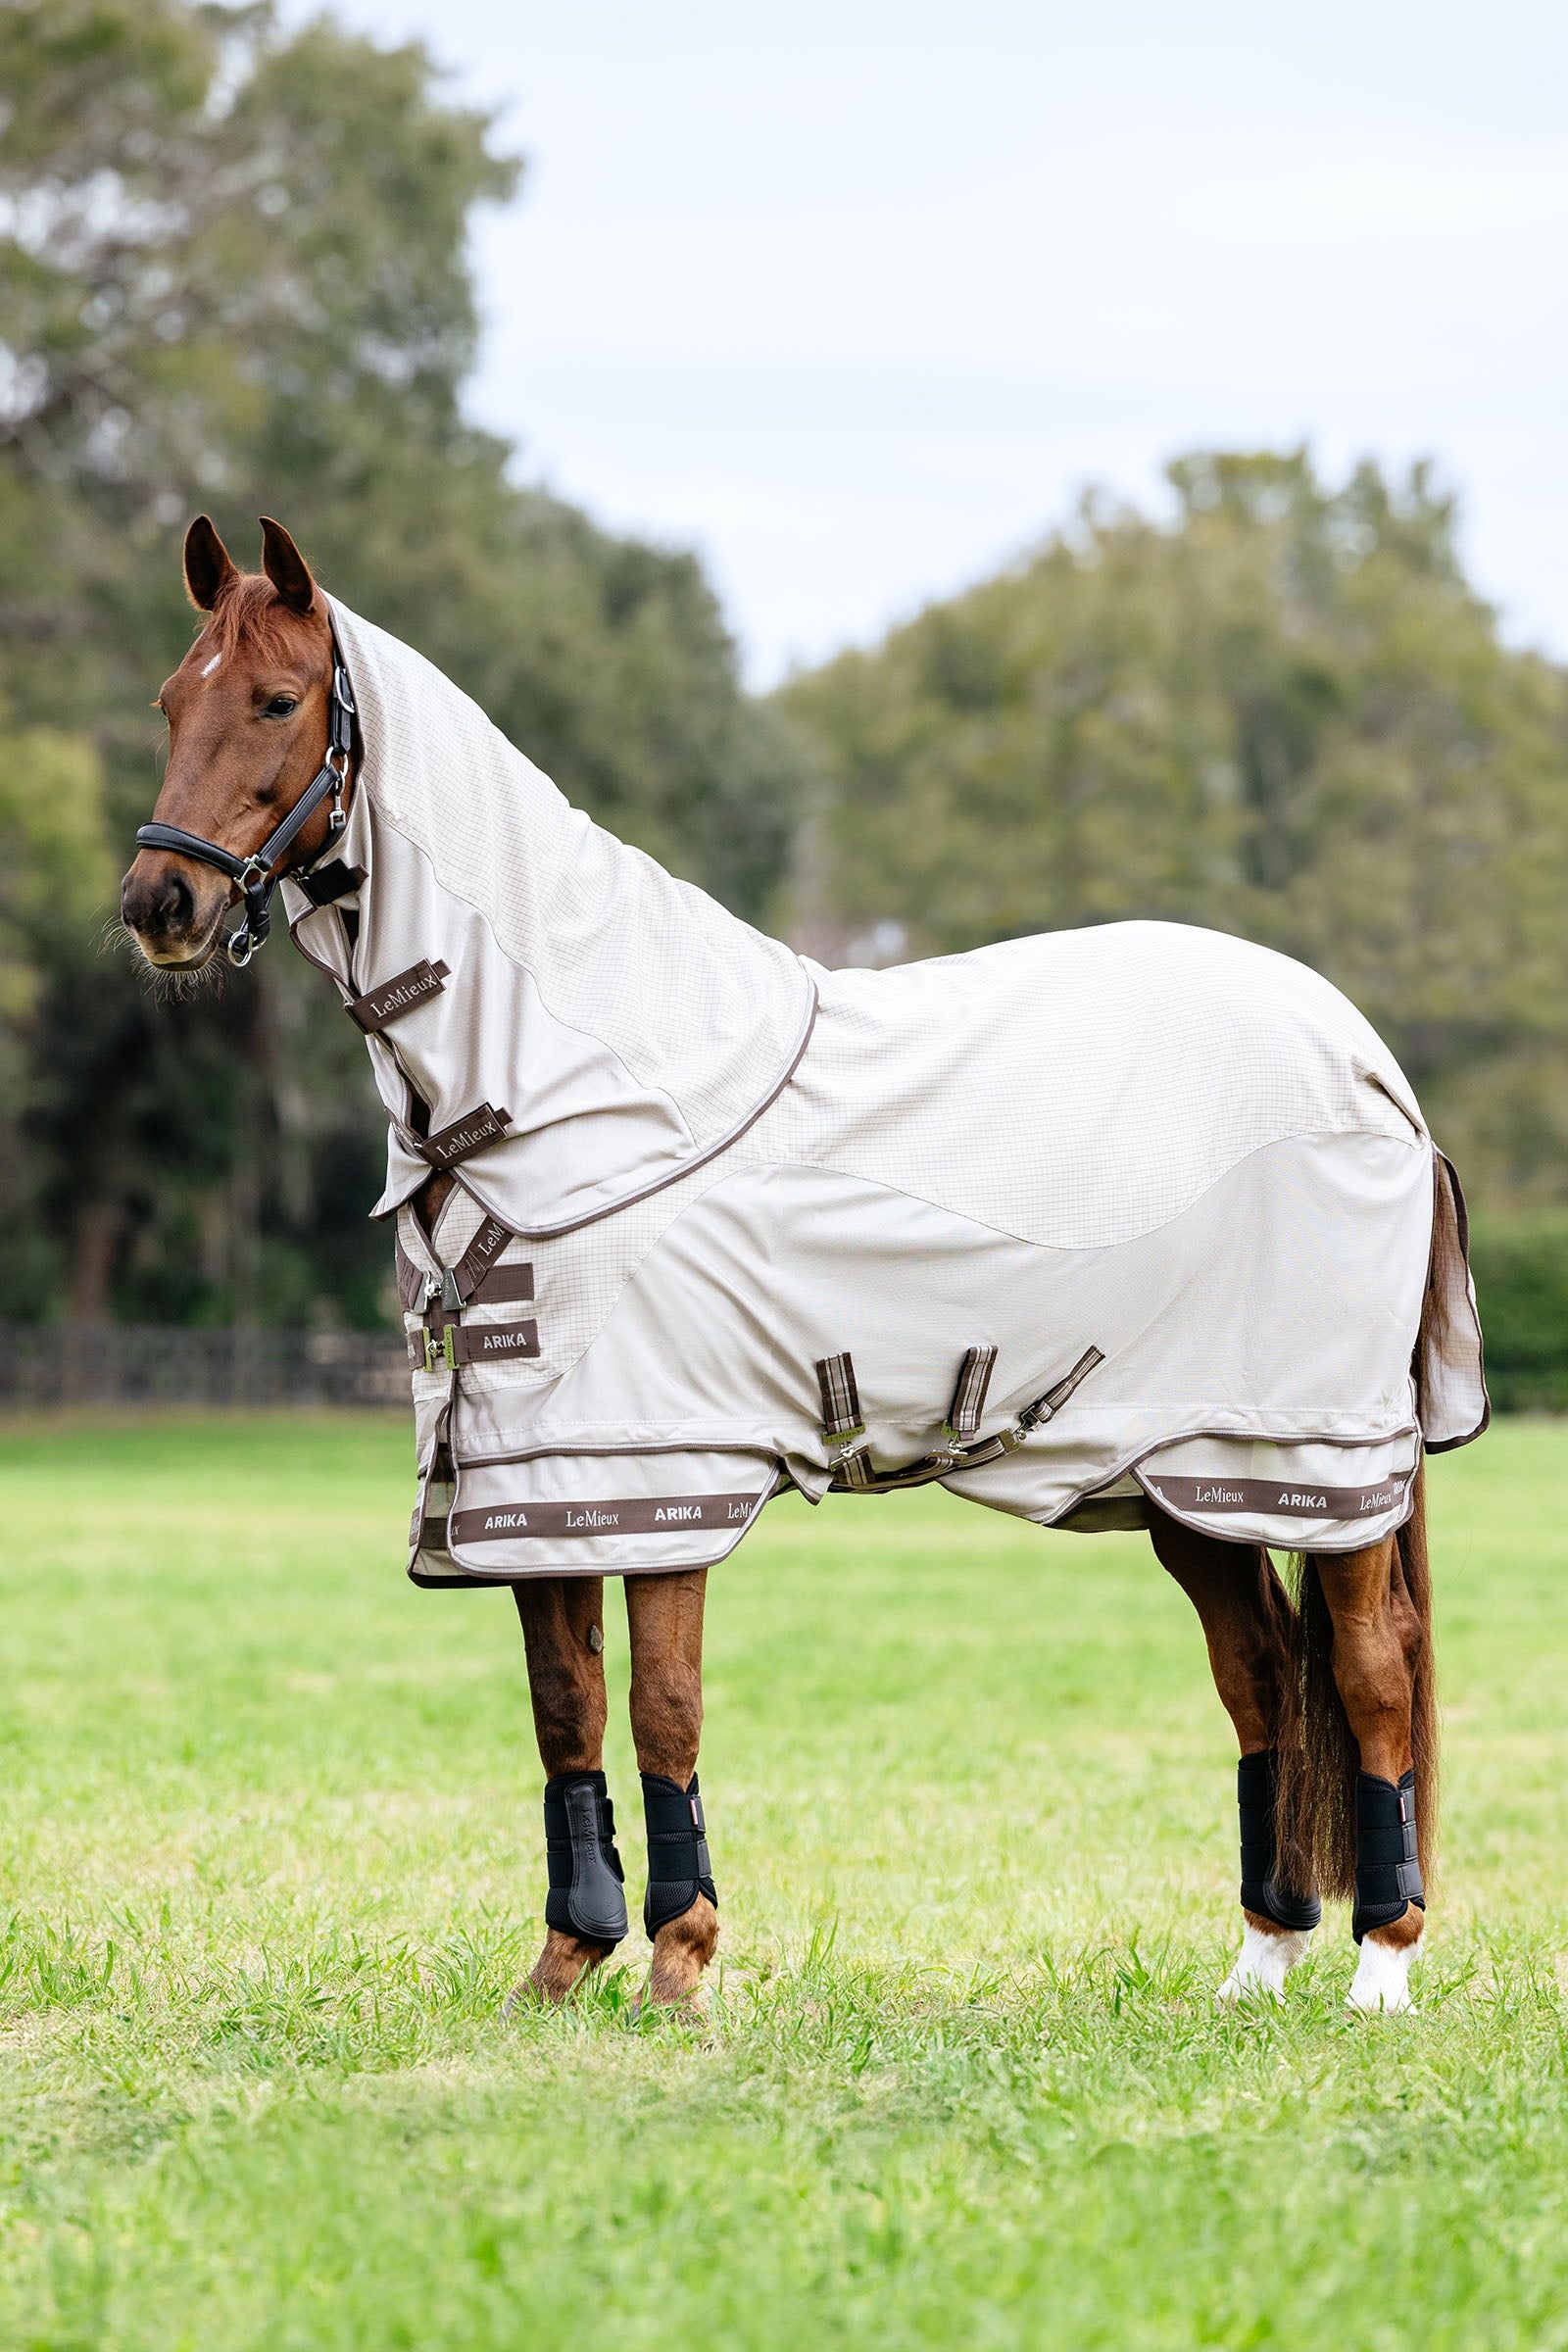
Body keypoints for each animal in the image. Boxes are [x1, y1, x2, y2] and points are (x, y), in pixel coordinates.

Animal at [120, 515, 1486, 2015]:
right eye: (170, 702)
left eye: (278, 700)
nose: (158, 903)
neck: (574, 1086)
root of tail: (1367, 1065)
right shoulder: (537, 1490)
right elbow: (564, 1712)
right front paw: (564, 1967)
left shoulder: (662, 1469)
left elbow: (662, 1706)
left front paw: (679, 1966)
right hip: (1189, 1477)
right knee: (1260, 1677)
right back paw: (1260, 1960)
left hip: (1319, 1463)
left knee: (1366, 1669)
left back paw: (1379, 1968)